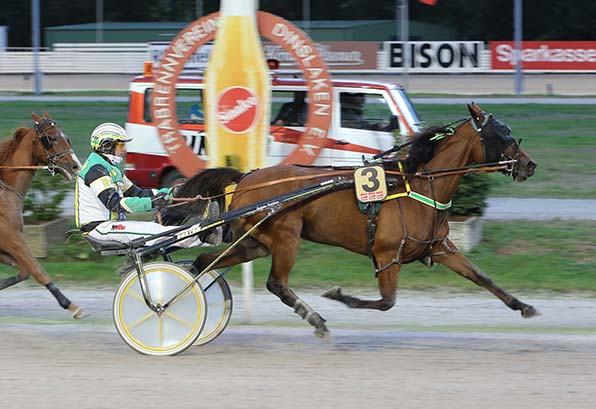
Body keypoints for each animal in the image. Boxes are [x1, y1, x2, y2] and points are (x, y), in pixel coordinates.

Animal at [0, 111, 86, 318]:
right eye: (51, 138)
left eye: (66, 137)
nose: (76, 167)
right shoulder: (12, 238)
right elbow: (37, 270)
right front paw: (72, 306)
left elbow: (25, 271)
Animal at [164, 103, 540, 336]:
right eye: (503, 134)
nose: (529, 164)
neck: (419, 185)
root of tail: (245, 178)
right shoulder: (387, 255)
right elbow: (387, 302)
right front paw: (338, 295)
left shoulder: (440, 247)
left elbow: (482, 277)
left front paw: (523, 306)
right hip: (286, 235)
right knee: (276, 284)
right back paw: (316, 320)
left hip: (257, 241)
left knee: (205, 260)